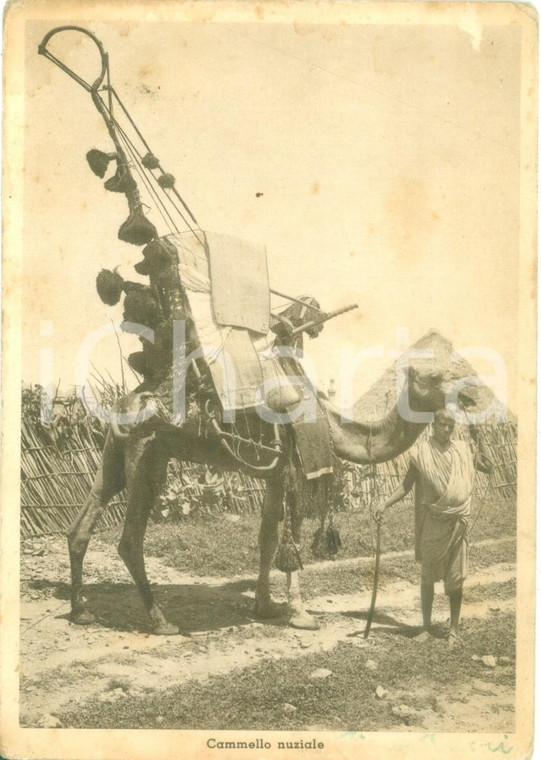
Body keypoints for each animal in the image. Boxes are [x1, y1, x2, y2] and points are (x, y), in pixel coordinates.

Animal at [66, 348, 464, 632]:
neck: (332, 424)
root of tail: (122, 405)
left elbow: (268, 537)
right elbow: (294, 536)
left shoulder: (274, 474)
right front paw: (300, 614)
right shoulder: (295, 468)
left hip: (115, 454)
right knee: (130, 540)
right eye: (435, 376)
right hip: (147, 455)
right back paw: (161, 620)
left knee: (82, 523)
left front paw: (265, 606)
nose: (469, 392)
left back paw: (80, 610)